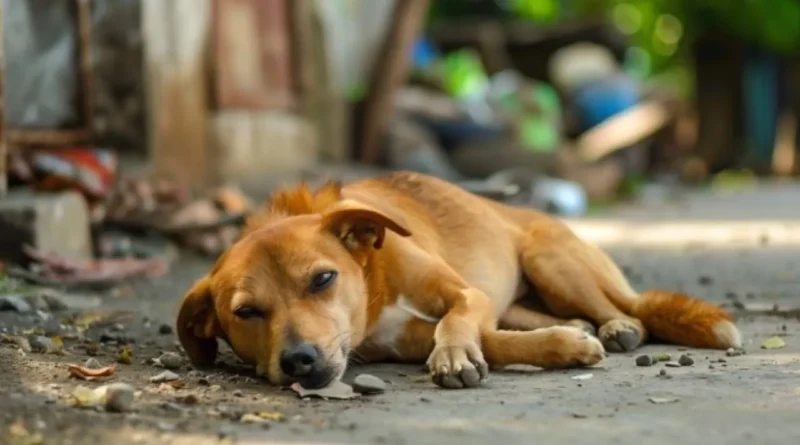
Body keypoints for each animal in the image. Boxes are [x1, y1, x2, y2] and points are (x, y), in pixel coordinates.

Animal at [178, 173, 740, 388]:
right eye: (245, 313)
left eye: (322, 279)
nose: (299, 361)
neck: (374, 282)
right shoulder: (402, 340)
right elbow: (494, 341)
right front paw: (564, 346)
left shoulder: (467, 294)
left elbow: (458, 321)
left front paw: (452, 356)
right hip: (523, 295)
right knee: (540, 316)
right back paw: (581, 328)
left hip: (551, 261)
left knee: (627, 309)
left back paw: (617, 326)